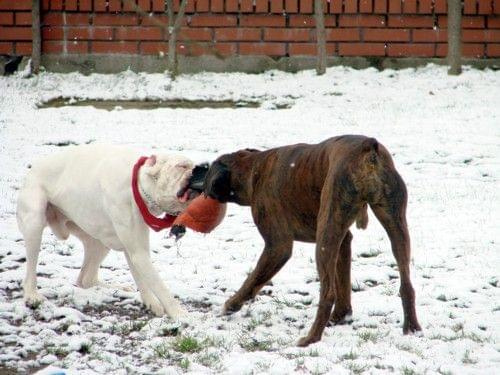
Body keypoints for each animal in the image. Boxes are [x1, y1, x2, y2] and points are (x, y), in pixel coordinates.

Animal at [17, 144, 197, 318]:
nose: (198, 172)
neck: (138, 184)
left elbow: (141, 278)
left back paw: (118, 287)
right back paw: (32, 295)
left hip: (100, 244)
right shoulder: (138, 253)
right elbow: (159, 286)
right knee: (31, 271)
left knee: (86, 279)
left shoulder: (134, 250)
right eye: (182, 166)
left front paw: (151, 303)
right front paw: (180, 314)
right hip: (34, 224)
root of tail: (32, 170)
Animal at [201, 135, 420, 346]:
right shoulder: (343, 241)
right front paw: (341, 317)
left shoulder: (277, 246)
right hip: (395, 227)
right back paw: (412, 328)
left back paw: (311, 338)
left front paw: (231, 305)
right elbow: (343, 283)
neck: (254, 167)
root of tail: (367, 147)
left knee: (328, 294)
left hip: (325, 239)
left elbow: (253, 280)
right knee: (406, 284)